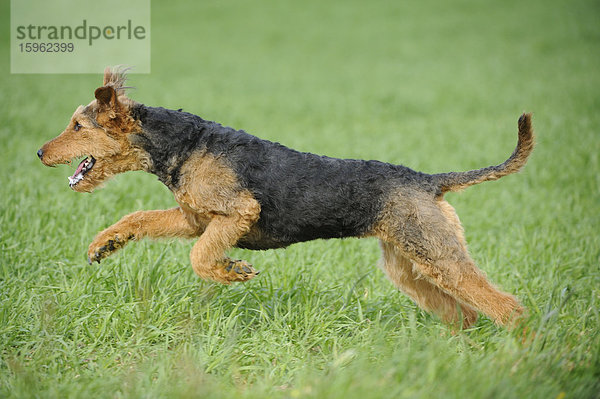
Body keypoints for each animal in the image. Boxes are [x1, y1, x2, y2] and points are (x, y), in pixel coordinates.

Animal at [37, 66, 536, 328]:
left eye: (78, 126)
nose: (40, 152)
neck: (182, 145)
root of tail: (430, 181)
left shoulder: (237, 212)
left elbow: (201, 258)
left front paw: (233, 271)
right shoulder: (195, 218)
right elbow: (139, 217)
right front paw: (103, 245)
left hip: (437, 256)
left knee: (508, 308)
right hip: (409, 264)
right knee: (467, 314)